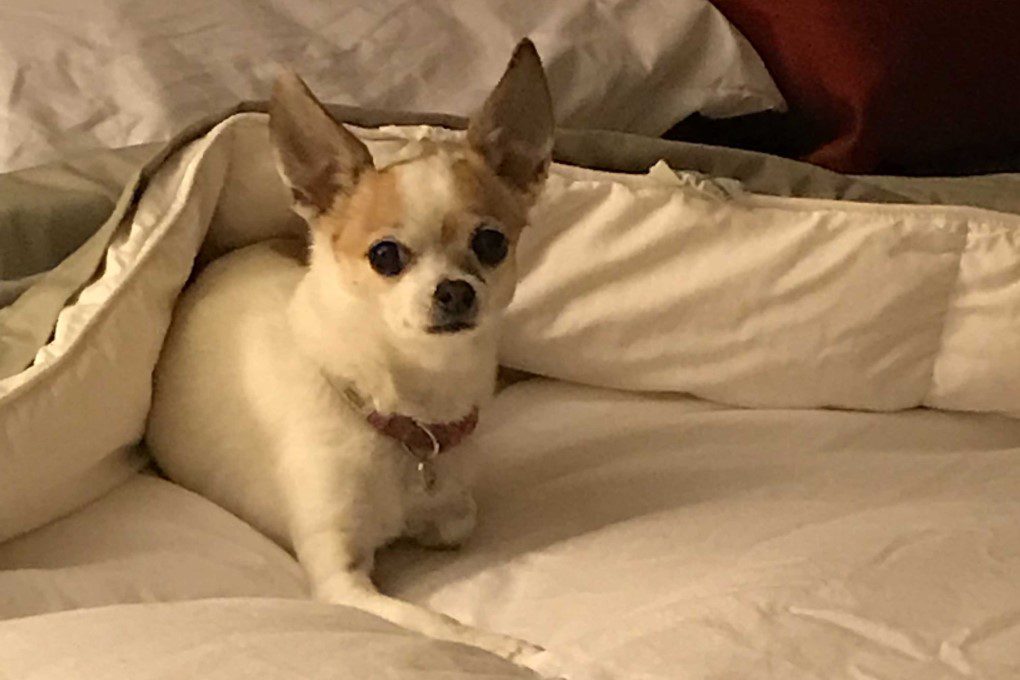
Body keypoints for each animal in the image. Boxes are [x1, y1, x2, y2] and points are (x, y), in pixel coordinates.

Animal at [147, 41, 554, 664]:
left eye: (491, 243)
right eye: (385, 256)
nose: (456, 290)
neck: (405, 407)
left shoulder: (452, 501)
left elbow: (457, 518)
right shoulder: (341, 579)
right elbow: (438, 623)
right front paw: (511, 648)